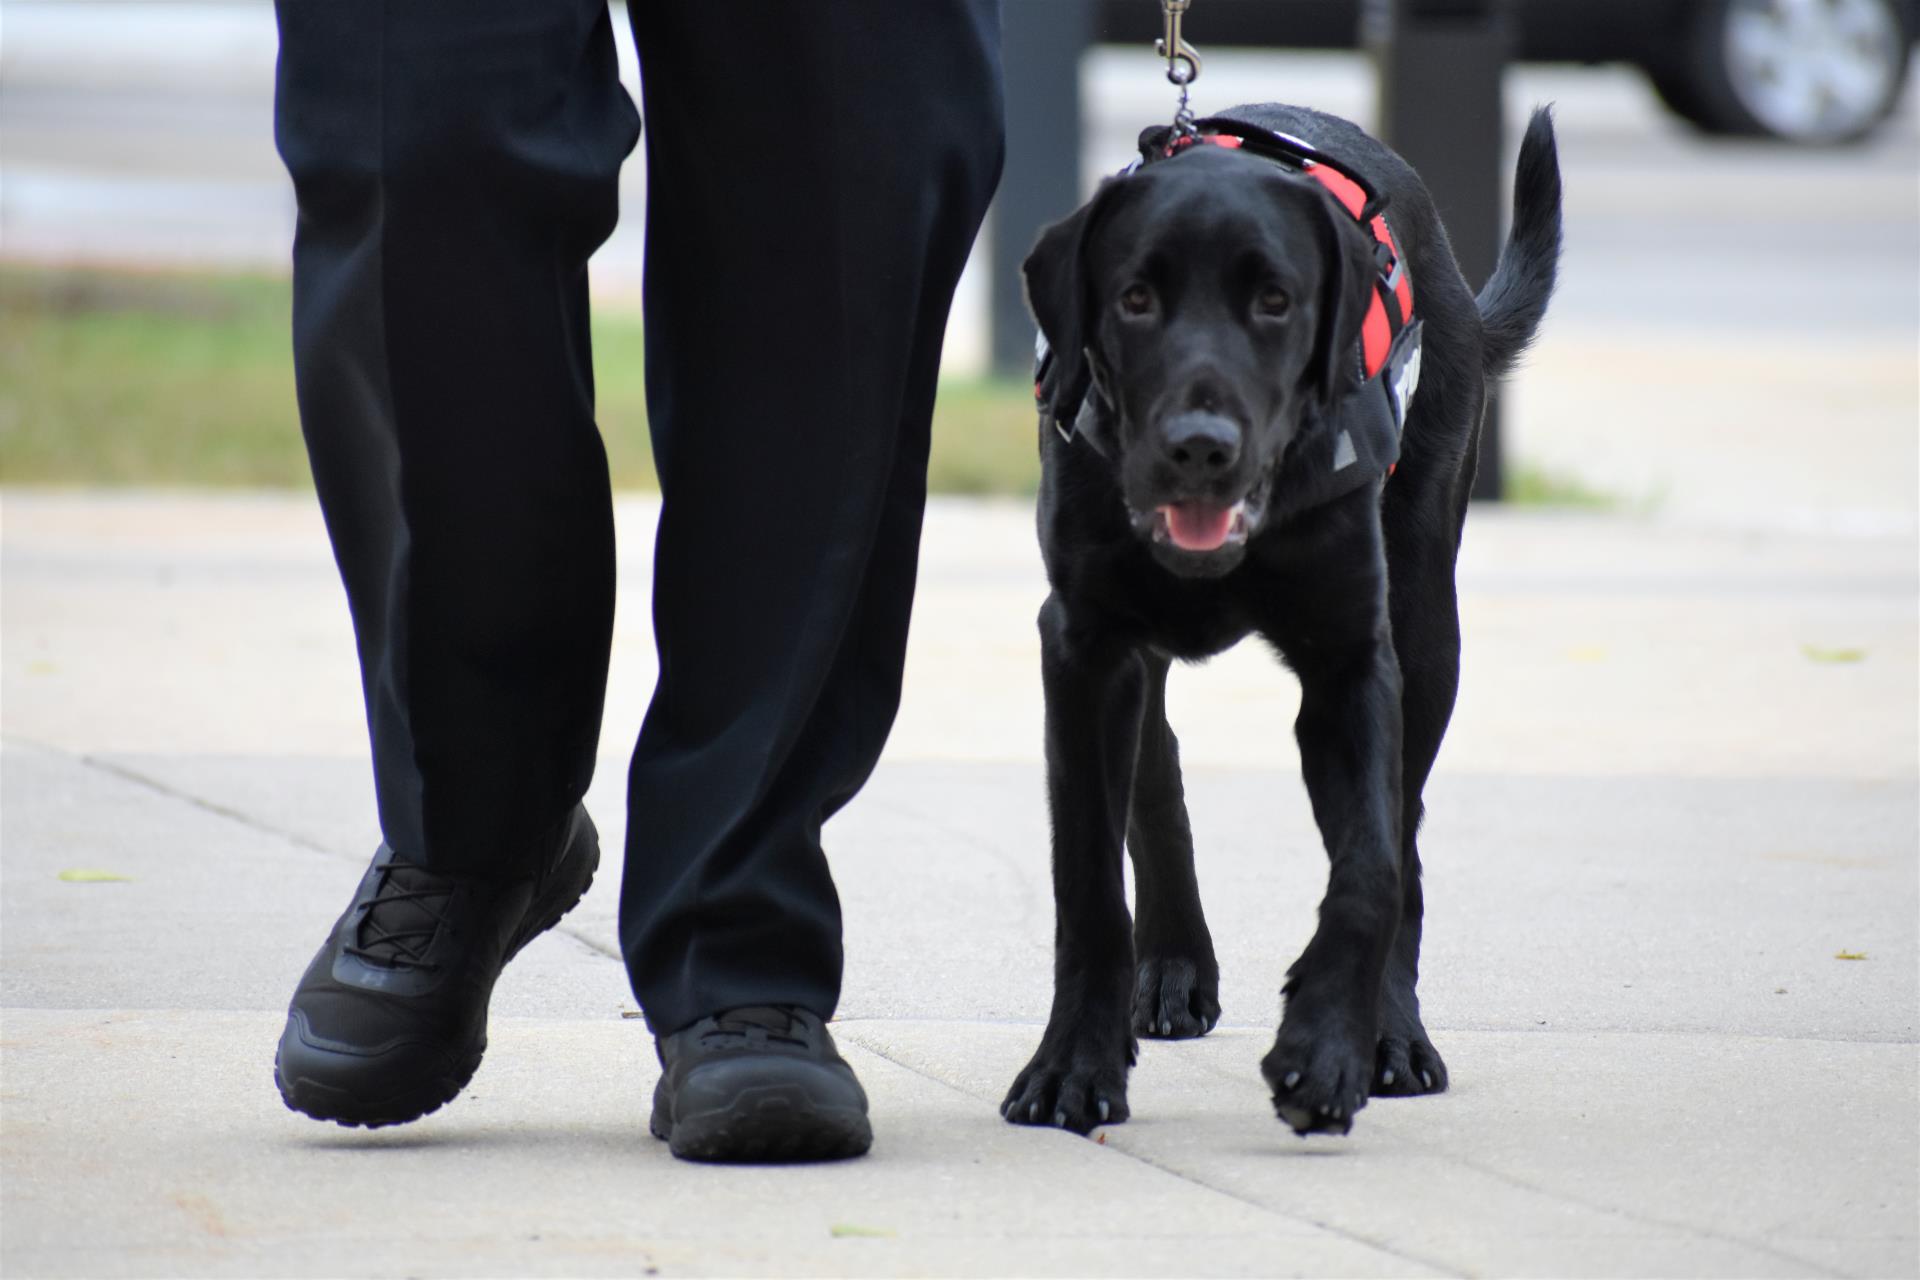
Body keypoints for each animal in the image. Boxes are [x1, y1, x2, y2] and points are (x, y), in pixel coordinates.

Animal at [1006, 105, 1559, 1136]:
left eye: (1276, 301)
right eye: (1134, 299)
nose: (1200, 448)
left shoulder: (1352, 662)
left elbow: (1374, 866)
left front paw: (1328, 1050)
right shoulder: (1084, 647)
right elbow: (1088, 876)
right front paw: (1071, 1066)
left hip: (1430, 625)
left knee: (1405, 831)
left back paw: (1392, 1033)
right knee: (1156, 770)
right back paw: (1174, 964)